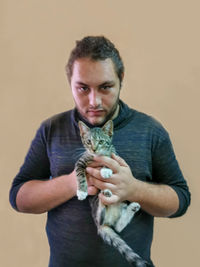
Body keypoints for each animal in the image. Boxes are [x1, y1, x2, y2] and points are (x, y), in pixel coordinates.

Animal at [76, 121, 148, 267]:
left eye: (101, 141)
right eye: (88, 141)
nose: (94, 149)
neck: (97, 158)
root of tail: (103, 226)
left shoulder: (114, 155)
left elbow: (110, 159)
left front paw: (106, 169)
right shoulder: (81, 161)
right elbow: (80, 174)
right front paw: (82, 191)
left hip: (121, 204)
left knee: (118, 227)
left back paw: (131, 207)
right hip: (97, 211)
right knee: (102, 214)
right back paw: (106, 194)